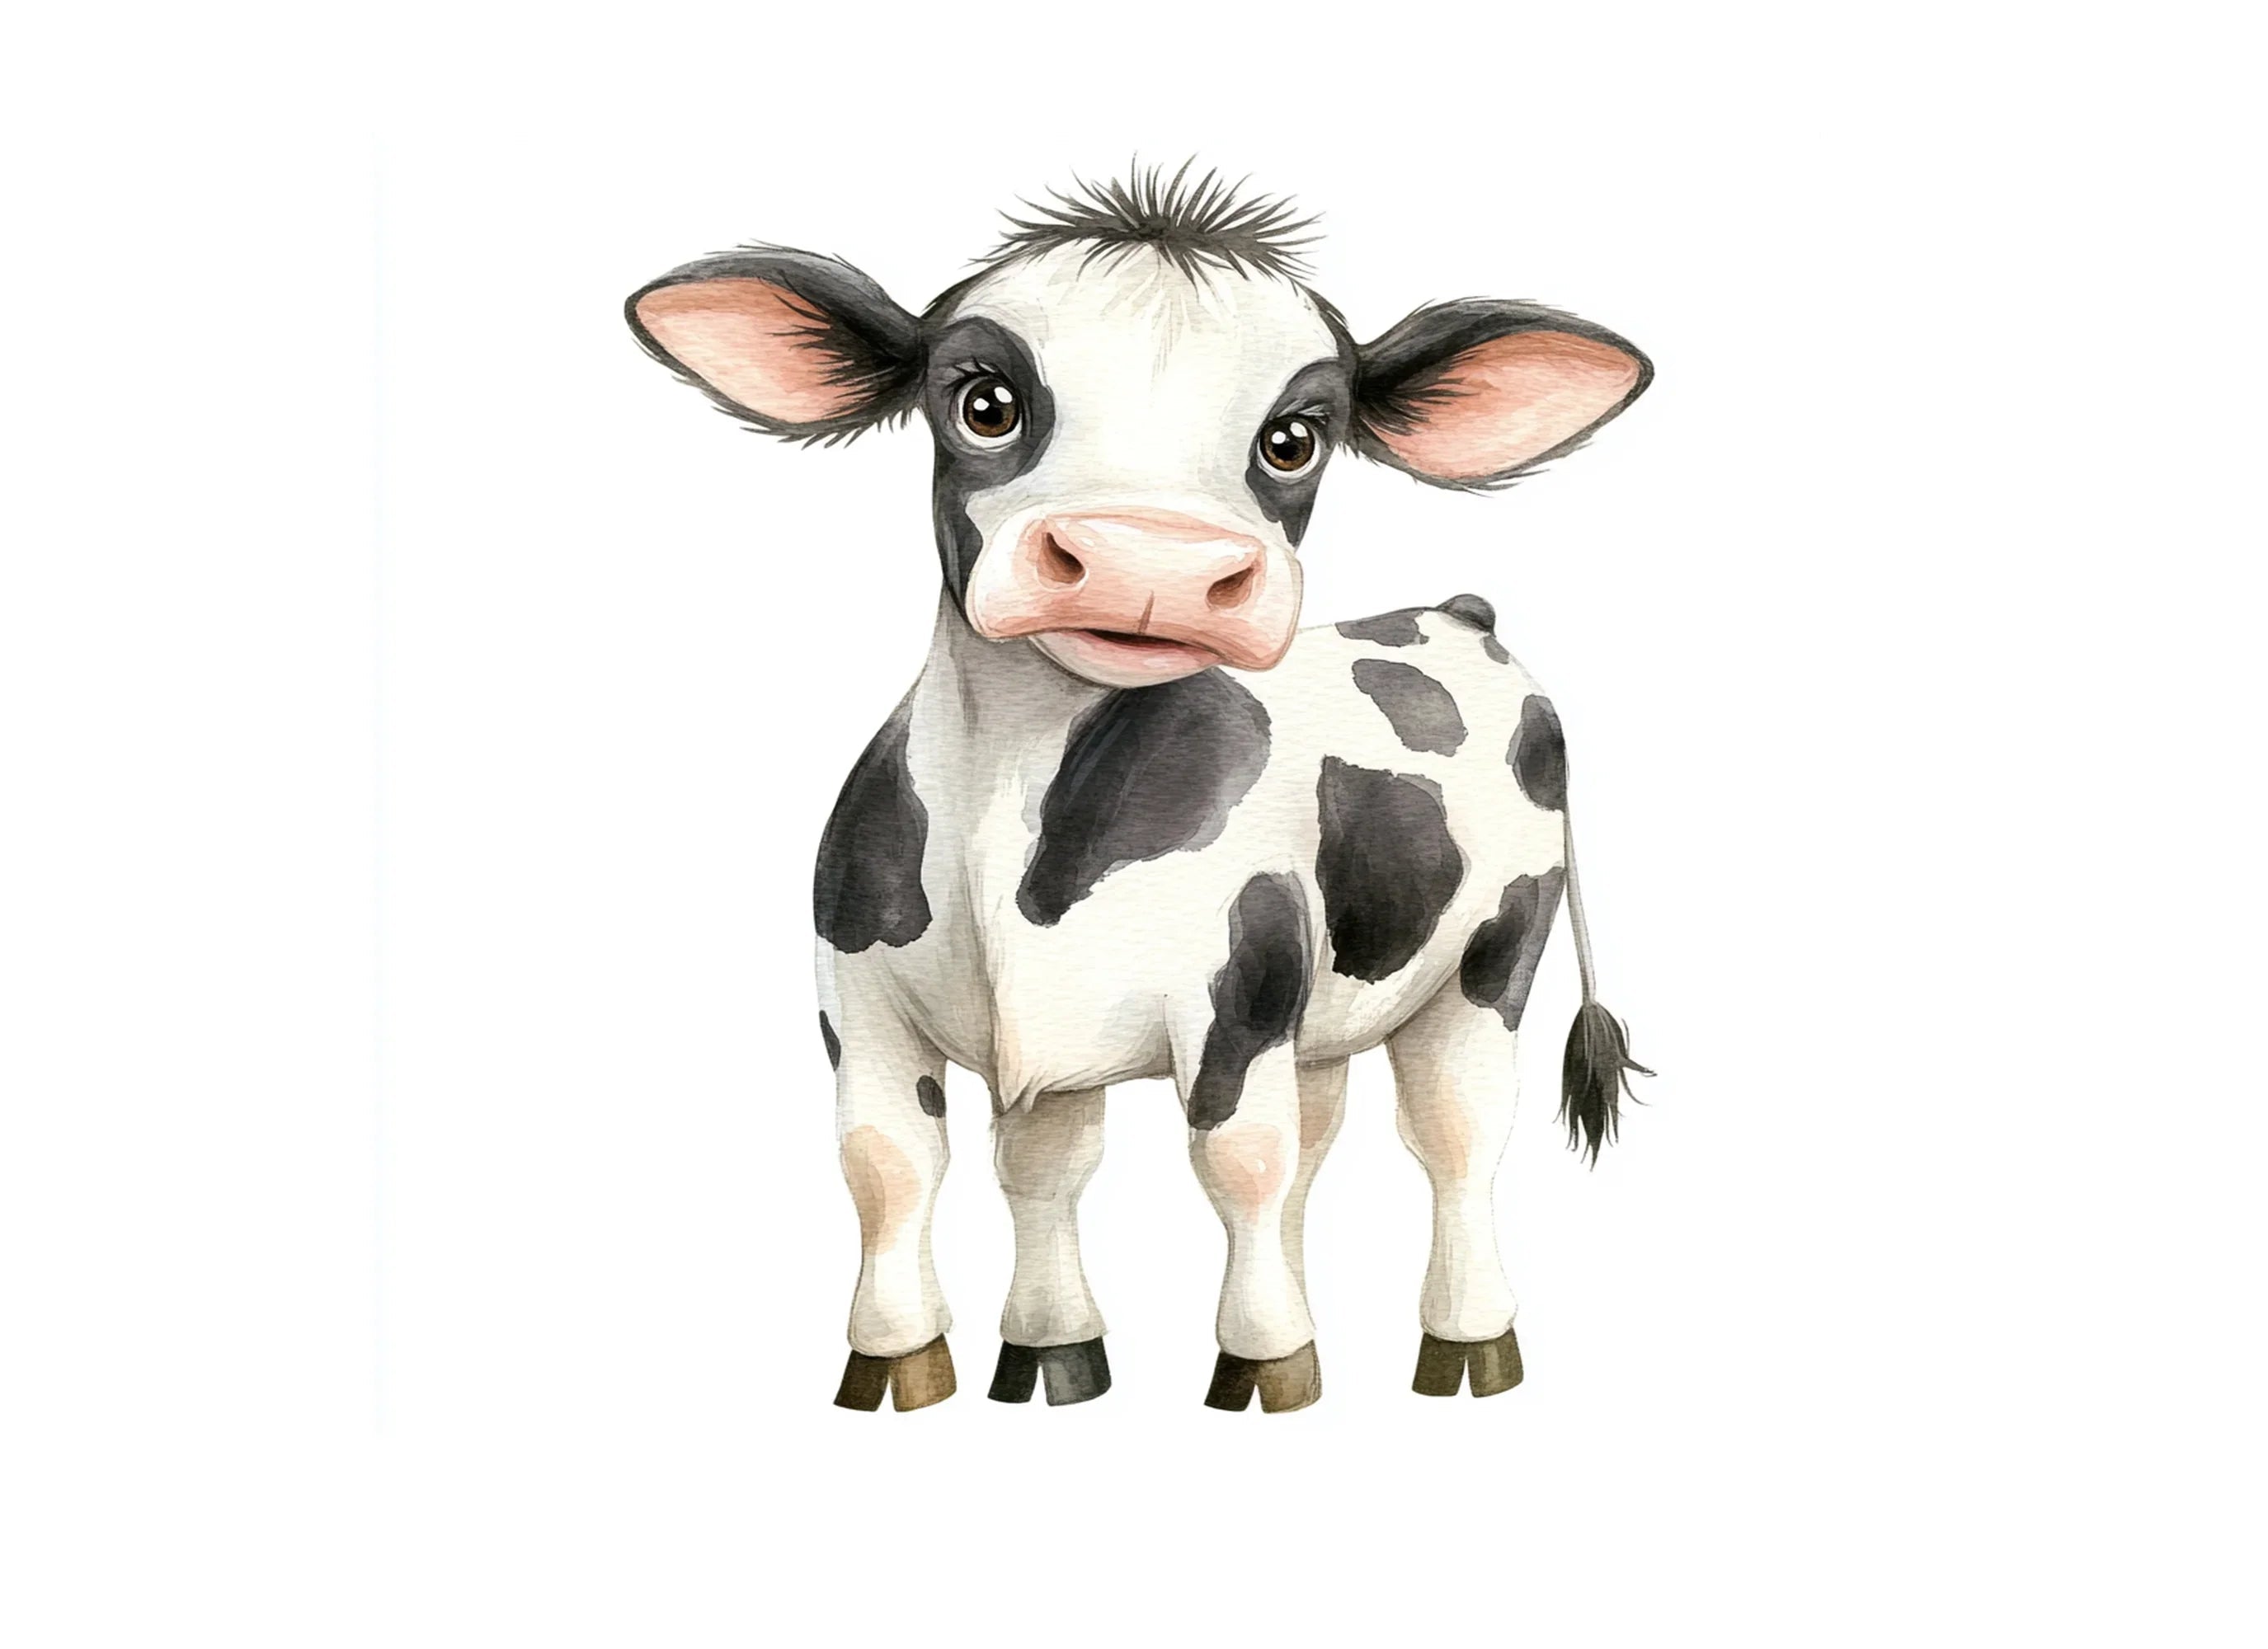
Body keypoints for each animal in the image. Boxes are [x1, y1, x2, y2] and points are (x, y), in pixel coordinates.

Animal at [625, 165, 1652, 1413]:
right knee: (1316, 1141)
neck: (1012, 817)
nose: (1148, 562)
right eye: (984, 402)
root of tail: (1458, 611)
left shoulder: (1237, 1000)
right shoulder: (861, 1002)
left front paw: (1266, 1363)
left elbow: (1236, 1161)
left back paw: (1465, 1345)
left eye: (1294, 438)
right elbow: (922, 1167)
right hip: (1323, 1006)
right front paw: (985, 1354)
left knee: (1453, 1134)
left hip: (1490, 955)